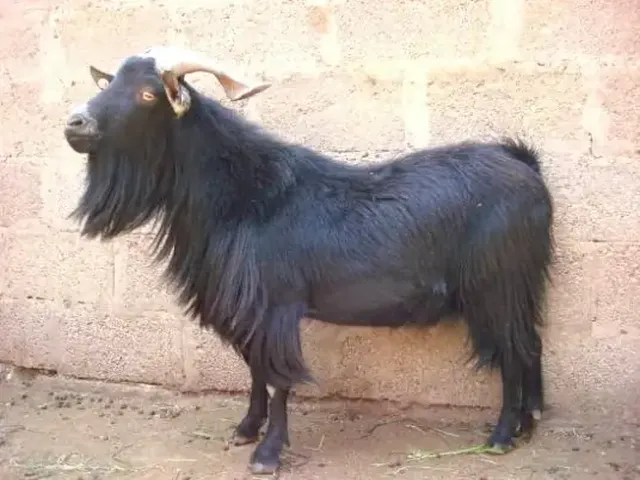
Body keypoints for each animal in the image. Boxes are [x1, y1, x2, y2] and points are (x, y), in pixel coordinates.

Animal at [63, 46, 555, 475]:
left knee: (513, 349)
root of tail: (528, 168)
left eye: (148, 94)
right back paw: (529, 422)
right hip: (520, 284)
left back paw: (502, 436)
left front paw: (267, 454)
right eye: (111, 82)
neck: (244, 194)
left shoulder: (275, 307)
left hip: (498, 284)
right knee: (531, 342)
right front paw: (246, 428)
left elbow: (277, 378)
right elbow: (255, 369)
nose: (75, 122)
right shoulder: (251, 311)